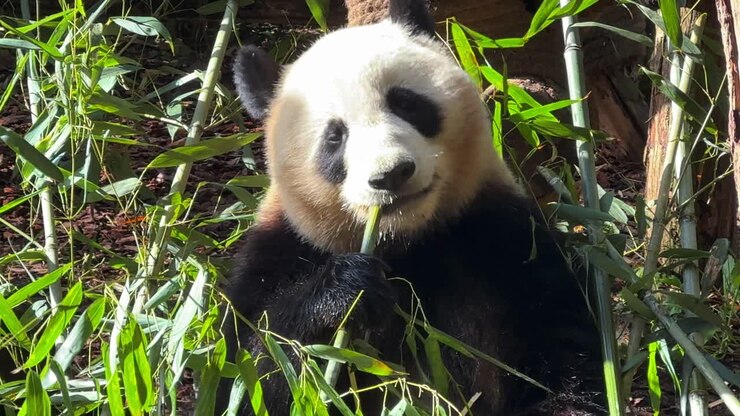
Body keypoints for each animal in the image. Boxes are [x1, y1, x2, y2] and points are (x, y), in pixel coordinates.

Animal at [220, 0, 605, 414]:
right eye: (334, 137)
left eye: (405, 103)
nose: (391, 174)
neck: (407, 241)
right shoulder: (280, 250)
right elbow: (254, 370)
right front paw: (347, 292)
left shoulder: (502, 235)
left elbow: (561, 345)